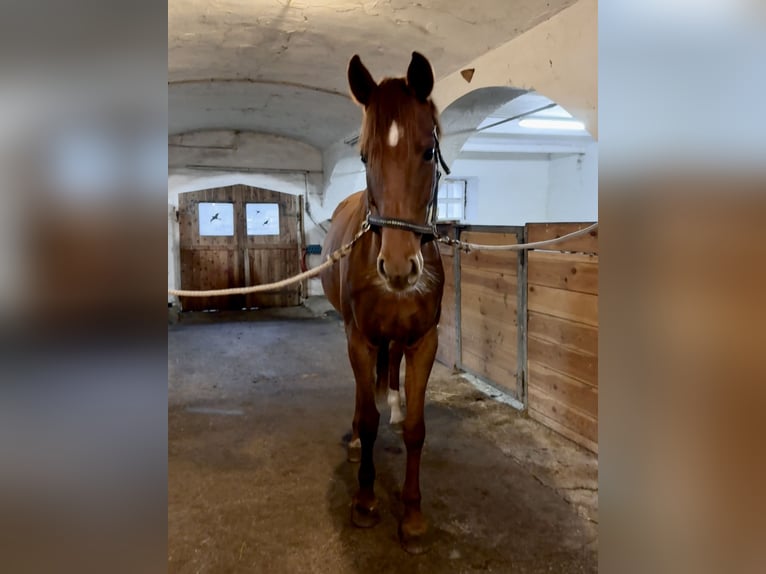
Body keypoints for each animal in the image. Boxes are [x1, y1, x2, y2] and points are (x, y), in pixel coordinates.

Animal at [320, 51, 446, 554]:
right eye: (363, 155)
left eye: (428, 151)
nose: (397, 268)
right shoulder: (361, 338)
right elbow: (368, 417)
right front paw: (365, 501)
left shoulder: (423, 341)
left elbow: (416, 428)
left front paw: (411, 517)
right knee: (363, 397)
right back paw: (356, 438)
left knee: (388, 374)